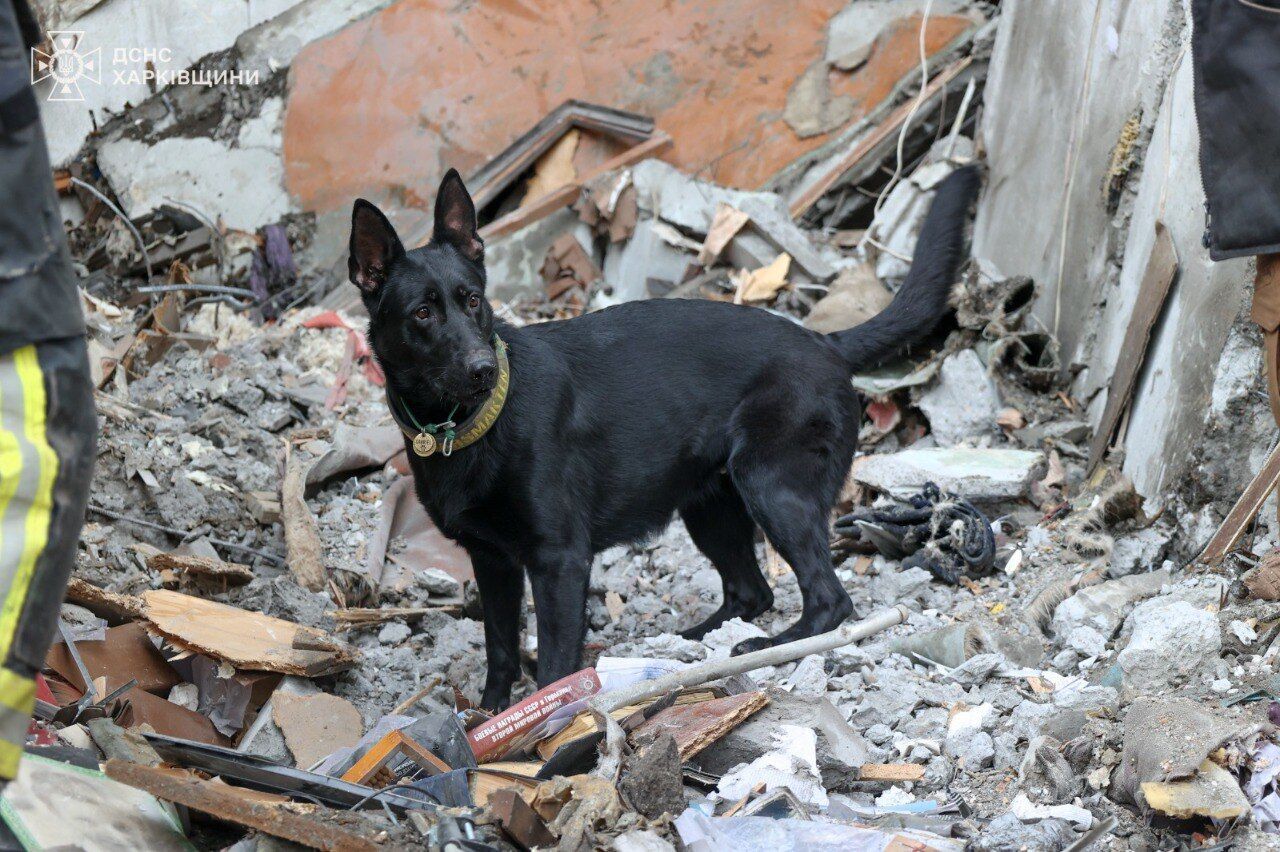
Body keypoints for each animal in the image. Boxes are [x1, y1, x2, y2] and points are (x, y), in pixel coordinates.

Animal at [345, 162, 972, 706]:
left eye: (473, 301)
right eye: (422, 314)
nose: (482, 369)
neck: (467, 427)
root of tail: (826, 342)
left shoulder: (559, 559)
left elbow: (555, 664)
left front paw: (547, 729)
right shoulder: (492, 561)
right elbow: (500, 648)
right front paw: (491, 715)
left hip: (771, 488)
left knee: (828, 599)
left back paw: (770, 645)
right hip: (710, 505)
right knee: (753, 590)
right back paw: (692, 644)